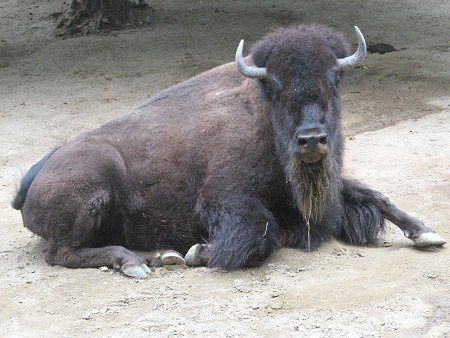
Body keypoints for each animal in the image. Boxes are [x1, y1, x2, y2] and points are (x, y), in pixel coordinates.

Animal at [13, 23, 446, 278]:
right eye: (273, 86)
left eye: (334, 79)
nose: (310, 140)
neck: (264, 121)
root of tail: (36, 175)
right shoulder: (223, 196)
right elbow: (260, 235)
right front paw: (197, 252)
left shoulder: (329, 186)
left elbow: (373, 195)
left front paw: (425, 232)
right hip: (94, 188)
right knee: (62, 253)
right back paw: (138, 262)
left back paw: (159, 256)